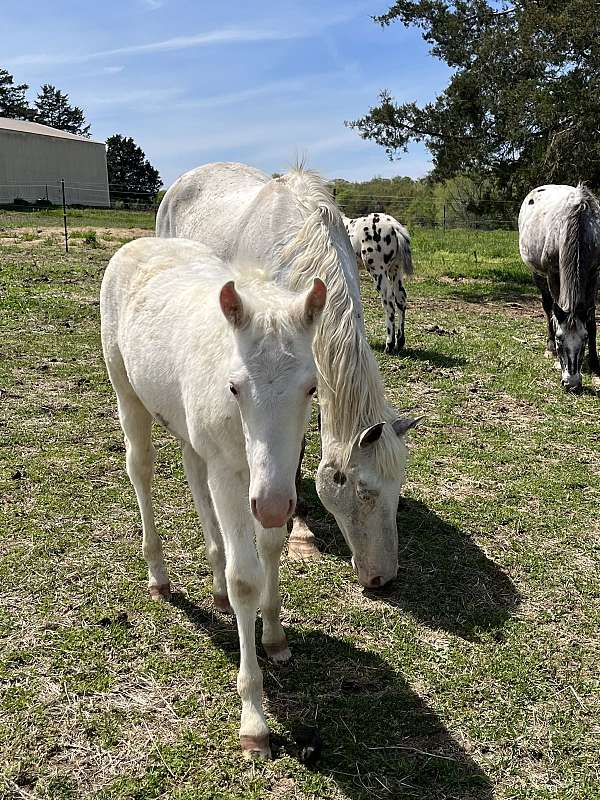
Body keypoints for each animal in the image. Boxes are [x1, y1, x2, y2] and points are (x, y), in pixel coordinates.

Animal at [102, 236, 328, 756]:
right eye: (235, 387)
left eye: (311, 388)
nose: (271, 506)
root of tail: (139, 242)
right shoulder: (235, 476)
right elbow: (246, 577)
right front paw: (254, 721)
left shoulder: (274, 478)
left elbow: (271, 545)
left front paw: (274, 635)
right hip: (127, 391)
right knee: (140, 468)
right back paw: (160, 577)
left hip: (189, 425)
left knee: (192, 470)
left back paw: (216, 586)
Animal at [342, 212, 412, 354]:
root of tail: (394, 226)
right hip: (395, 269)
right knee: (400, 298)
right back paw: (400, 342)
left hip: (378, 271)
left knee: (388, 300)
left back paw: (389, 344)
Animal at [516, 184, 596, 390]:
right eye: (561, 339)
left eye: (584, 339)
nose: (572, 384)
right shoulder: (553, 274)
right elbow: (553, 312)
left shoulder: (595, 272)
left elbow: (591, 318)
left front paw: (595, 361)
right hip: (537, 273)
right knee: (546, 307)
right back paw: (548, 347)